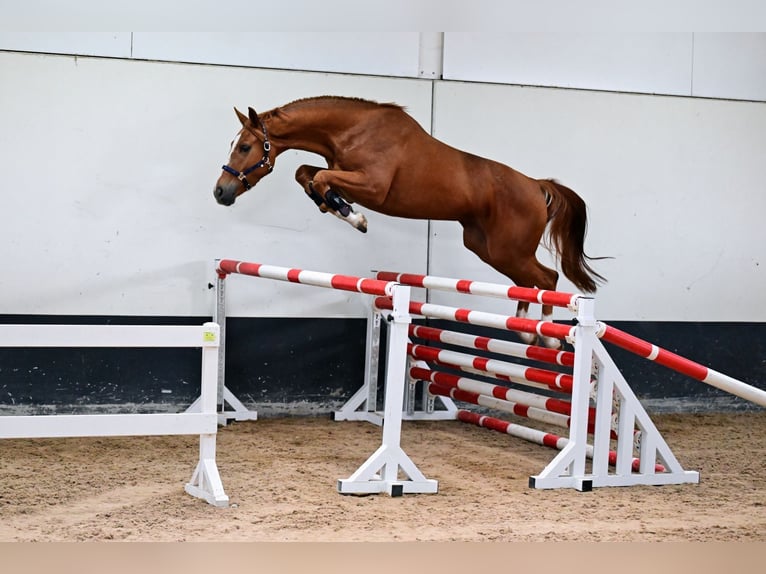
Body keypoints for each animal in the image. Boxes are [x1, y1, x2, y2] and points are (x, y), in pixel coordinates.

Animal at [212, 95, 608, 346]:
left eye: (244, 147)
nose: (221, 192)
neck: (352, 131)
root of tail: (536, 185)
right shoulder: (342, 173)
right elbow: (307, 174)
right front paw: (330, 204)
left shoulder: (372, 186)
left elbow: (320, 178)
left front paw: (353, 216)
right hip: (486, 247)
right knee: (531, 281)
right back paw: (527, 329)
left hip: (508, 249)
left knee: (547, 277)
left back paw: (545, 335)